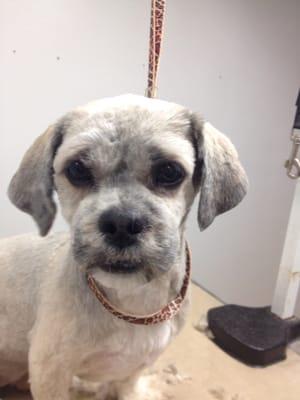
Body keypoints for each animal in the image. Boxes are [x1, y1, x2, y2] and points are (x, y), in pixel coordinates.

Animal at [0, 94, 248, 400]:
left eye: (170, 171)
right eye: (77, 169)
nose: (120, 223)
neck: (134, 301)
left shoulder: (137, 365)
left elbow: (128, 385)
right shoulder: (49, 368)